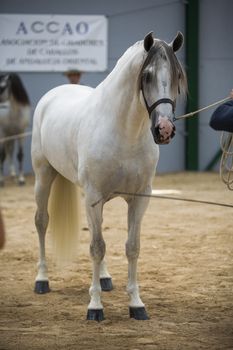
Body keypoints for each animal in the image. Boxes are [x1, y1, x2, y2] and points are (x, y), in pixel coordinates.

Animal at [31, 31, 187, 322]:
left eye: (177, 75)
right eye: (146, 75)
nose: (164, 129)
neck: (125, 132)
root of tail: (54, 94)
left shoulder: (140, 198)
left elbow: (131, 247)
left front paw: (136, 304)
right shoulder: (94, 197)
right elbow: (96, 247)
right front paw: (95, 307)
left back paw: (104, 278)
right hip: (43, 177)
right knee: (42, 222)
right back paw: (42, 280)